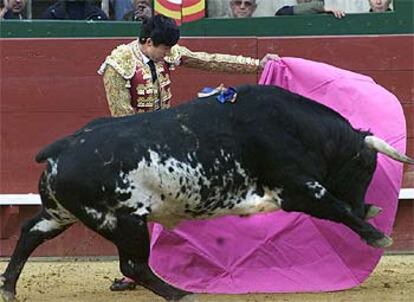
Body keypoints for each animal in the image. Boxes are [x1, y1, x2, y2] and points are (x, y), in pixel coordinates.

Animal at [1, 84, 412, 300]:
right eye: (365, 167)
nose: (366, 205)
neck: (299, 128)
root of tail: (63, 147)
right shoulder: (296, 188)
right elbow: (335, 207)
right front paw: (377, 235)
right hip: (123, 220)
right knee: (133, 264)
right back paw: (182, 293)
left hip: (62, 212)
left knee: (30, 233)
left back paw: (8, 287)